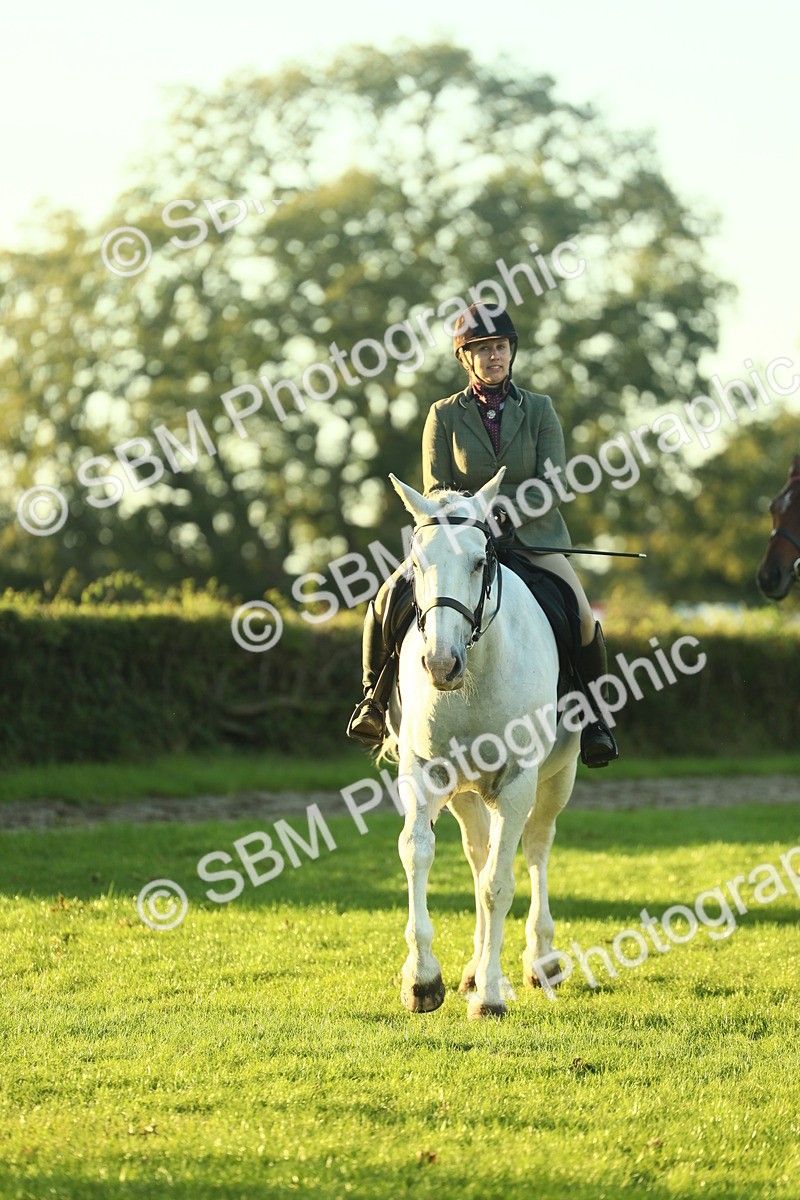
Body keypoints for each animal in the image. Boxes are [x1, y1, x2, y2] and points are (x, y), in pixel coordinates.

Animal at [385, 466, 581, 1020]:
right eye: (416, 564)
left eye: (478, 562)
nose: (440, 664)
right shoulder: (423, 771)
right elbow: (417, 853)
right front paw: (422, 981)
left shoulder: (517, 782)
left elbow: (498, 884)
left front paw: (491, 997)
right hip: (467, 793)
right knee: (477, 855)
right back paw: (473, 969)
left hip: (556, 779)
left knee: (535, 849)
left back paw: (541, 960)